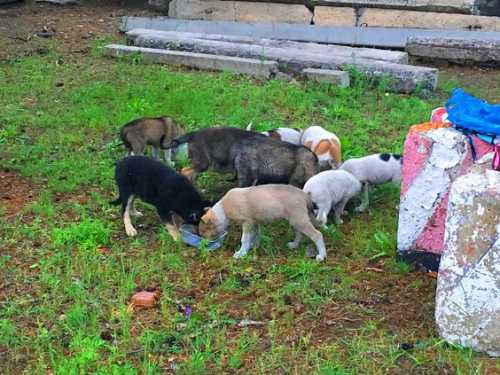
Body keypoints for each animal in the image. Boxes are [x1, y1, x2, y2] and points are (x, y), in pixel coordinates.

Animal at [197, 184, 326, 262]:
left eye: (203, 232)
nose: (203, 246)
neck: (223, 209)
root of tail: (304, 195)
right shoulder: (254, 222)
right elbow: (255, 235)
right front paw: (253, 246)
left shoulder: (247, 222)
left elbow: (244, 239)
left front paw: (241, 253)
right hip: (295, 220)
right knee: (300, 233)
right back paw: (294, 245)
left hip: (299, 220)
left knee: (317, 235)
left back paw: (321, 255)